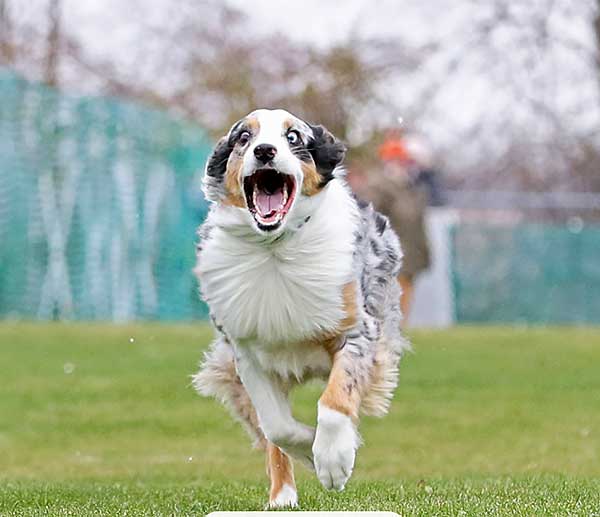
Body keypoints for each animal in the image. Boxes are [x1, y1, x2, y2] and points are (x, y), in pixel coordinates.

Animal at [192, 109, 408, 508]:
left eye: (293, 137)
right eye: (243, 137)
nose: (264, 150)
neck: (275, 247)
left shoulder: (358, 332)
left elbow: (335, 400)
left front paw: (334, 460)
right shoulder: (246, 351)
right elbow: (277, 428)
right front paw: (311, 450)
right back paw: (282, 498)